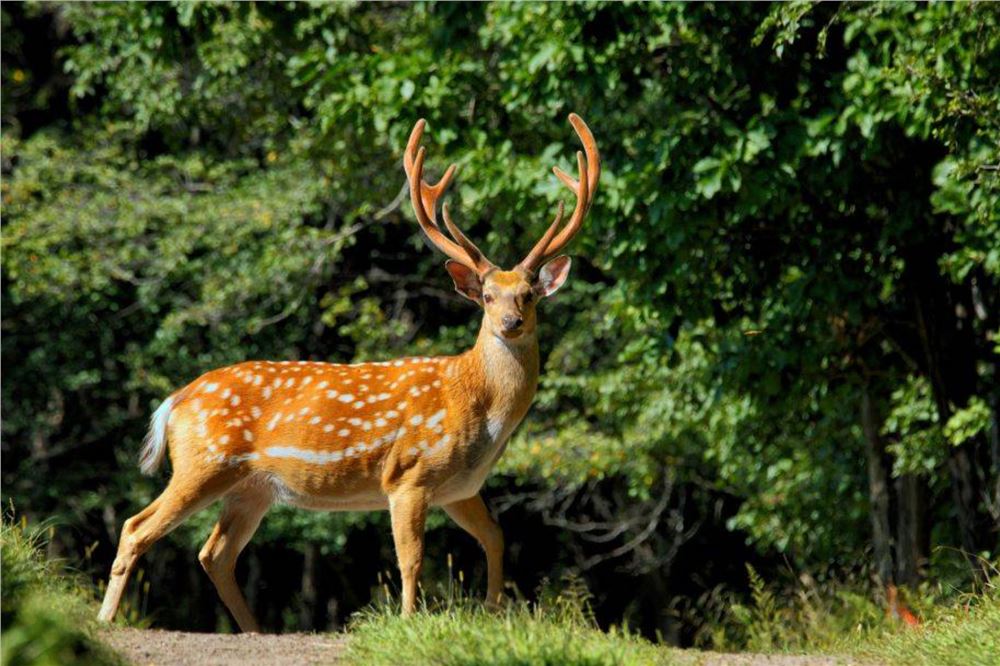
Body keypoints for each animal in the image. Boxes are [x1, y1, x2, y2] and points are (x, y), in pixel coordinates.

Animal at [97, 113, 600, 632]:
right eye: (486, 296)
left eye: (528, 294)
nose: (510, 323)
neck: (476, 405)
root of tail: (174, 402)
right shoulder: (408, 474)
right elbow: (411, 559)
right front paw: (407, 622)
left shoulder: (461, 489)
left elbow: (495, 538)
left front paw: (495, 612)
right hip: (204, 462)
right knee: (137, 527)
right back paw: (106, 619)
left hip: (251, 489)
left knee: (214, 553)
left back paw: (255, 630)